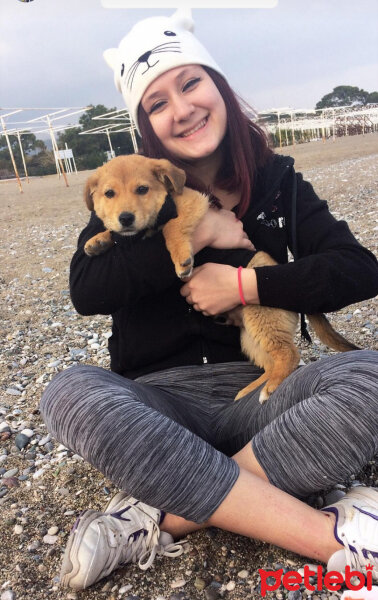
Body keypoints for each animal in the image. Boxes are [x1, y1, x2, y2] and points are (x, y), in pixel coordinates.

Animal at [83, 156, 360, 404]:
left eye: (142, 189)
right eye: (109, 194)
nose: (126, 218)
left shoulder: (192, 205)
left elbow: (172, 228)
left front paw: (181, 258)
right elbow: (116, 232)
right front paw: (98, 240)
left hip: (260, 317)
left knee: (289, 354)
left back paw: (269, 389)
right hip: (249, 337)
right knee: (271, 362)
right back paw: (251, 389)